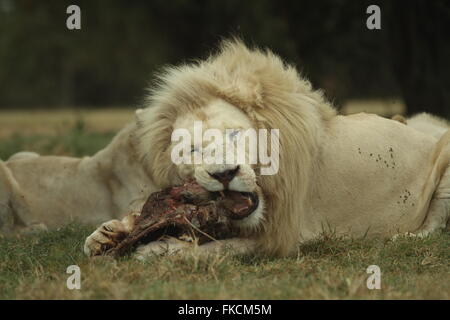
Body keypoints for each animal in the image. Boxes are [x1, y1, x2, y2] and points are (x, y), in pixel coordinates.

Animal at [0, 40, 450, 260]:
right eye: (191, 150)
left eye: (235, 136)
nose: (223, 174)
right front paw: (107, 233)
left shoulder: (282, 236)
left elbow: (210, 252)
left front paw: (160, 249)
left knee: (433, 227)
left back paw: (400, 238)